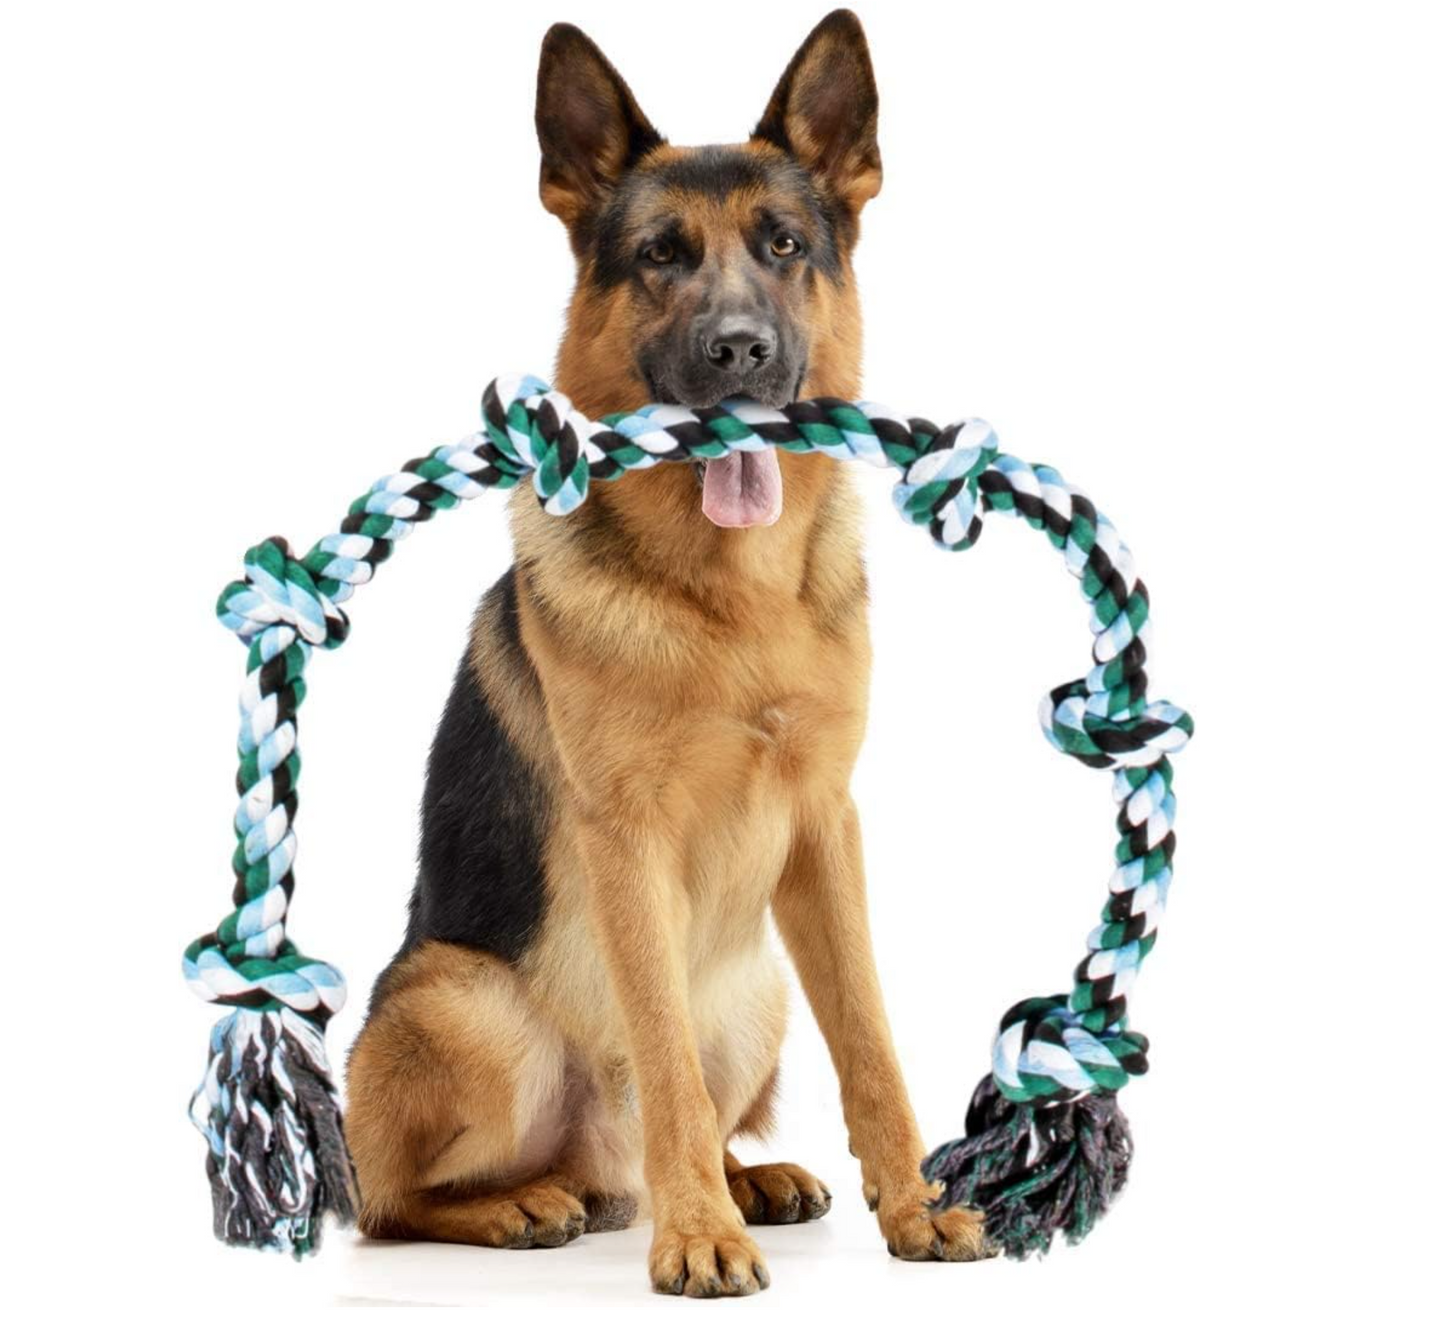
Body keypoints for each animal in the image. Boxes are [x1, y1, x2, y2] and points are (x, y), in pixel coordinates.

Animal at [343, 7, 988, 1300]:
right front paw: (698, 1235)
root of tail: (595, 1165)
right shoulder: (623, 841)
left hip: (756, 992)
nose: (737, 351)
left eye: (785, 244)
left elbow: (871, 1039)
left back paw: (745, 1177)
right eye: (658, 255)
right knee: (397, 1198)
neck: (731, 606)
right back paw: (534, 1202)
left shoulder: (824, 825)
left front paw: (913, 1203)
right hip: (465, 1001)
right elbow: (664, 1057)